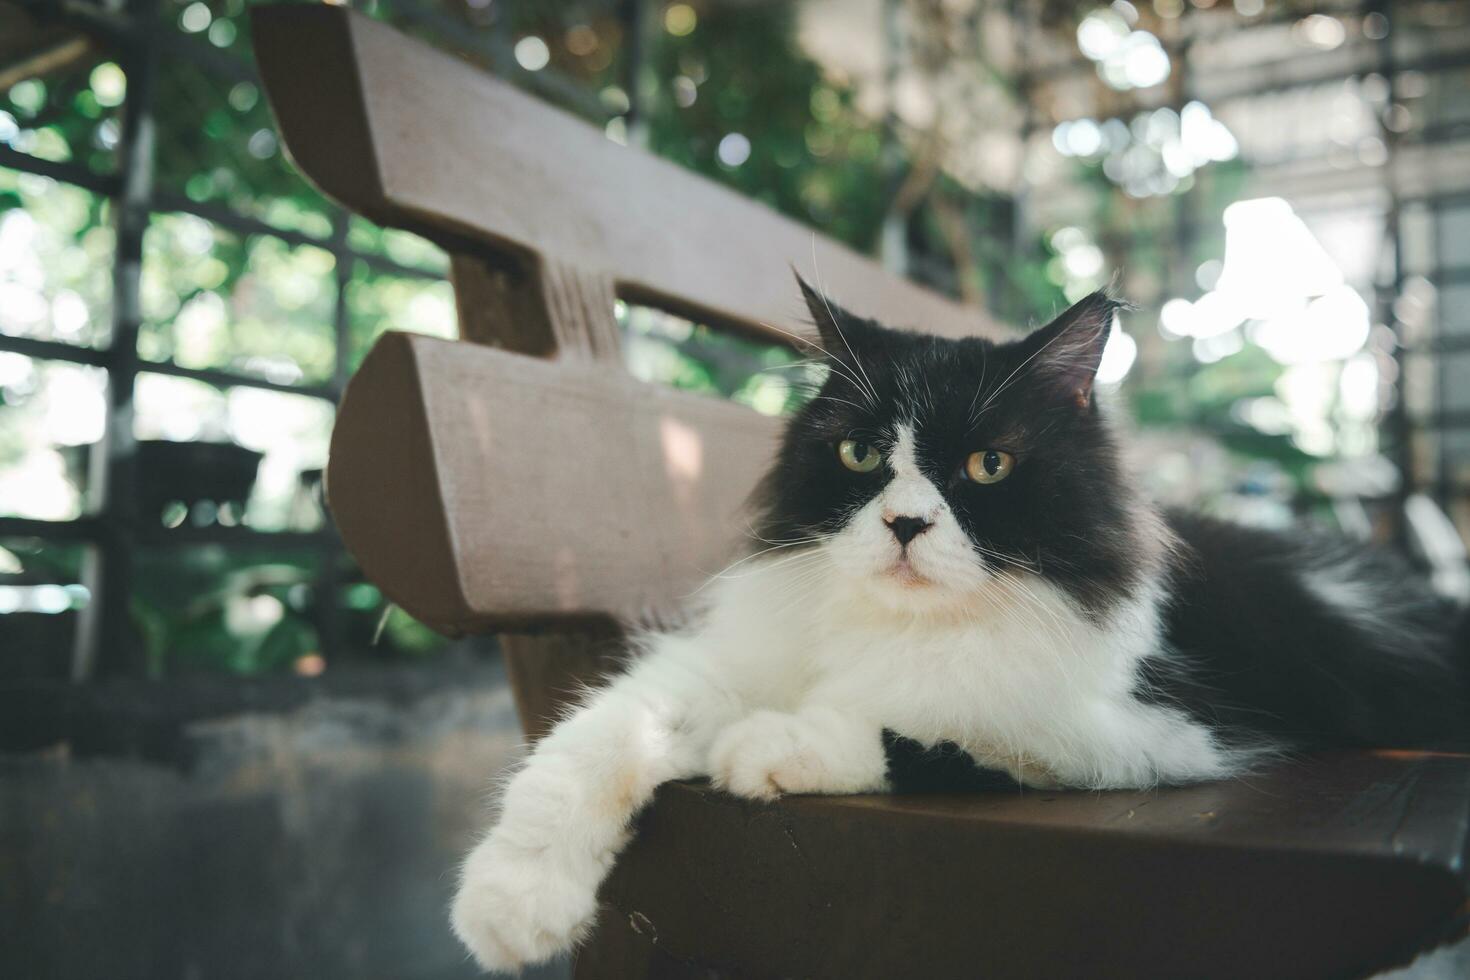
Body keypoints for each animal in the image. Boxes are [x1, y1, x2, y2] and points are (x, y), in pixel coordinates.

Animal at [452, 279, 1464, 969]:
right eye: (862, 454)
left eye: (988, 466)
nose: (905, 524)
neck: (903, 627)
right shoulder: (725, 663)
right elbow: (598, 738)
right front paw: (508, 904)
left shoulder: (1133, 732)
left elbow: (922, 723)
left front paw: (769, 750)